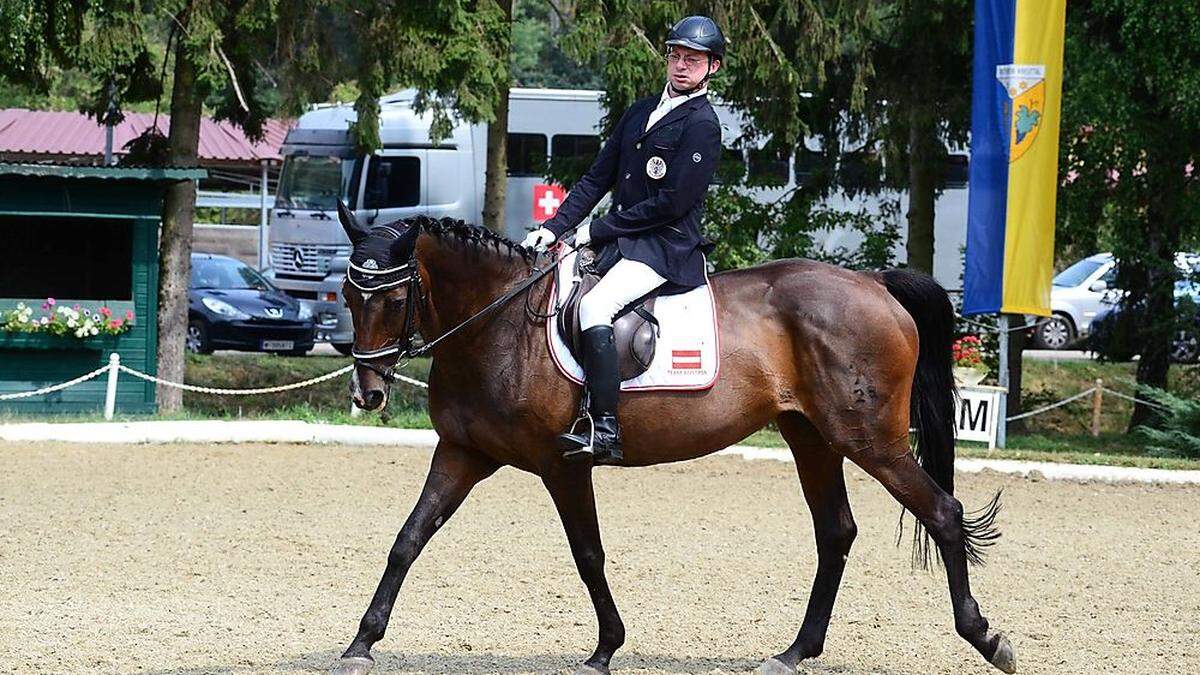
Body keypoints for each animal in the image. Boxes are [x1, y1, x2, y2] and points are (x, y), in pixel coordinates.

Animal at [328, 205, 1012, 672]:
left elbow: (588, 554)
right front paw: (361, 641)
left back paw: (986, 638)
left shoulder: (563, 465)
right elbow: (408, 540)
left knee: (942, 512)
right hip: (811, 437)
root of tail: (874, 283)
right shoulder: (462, 453)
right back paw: (795, 651)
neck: (497, 325)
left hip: (870, 441)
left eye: (393, 296)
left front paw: (606, 648)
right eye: (347, 296)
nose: (368, 392)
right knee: (836, 532)